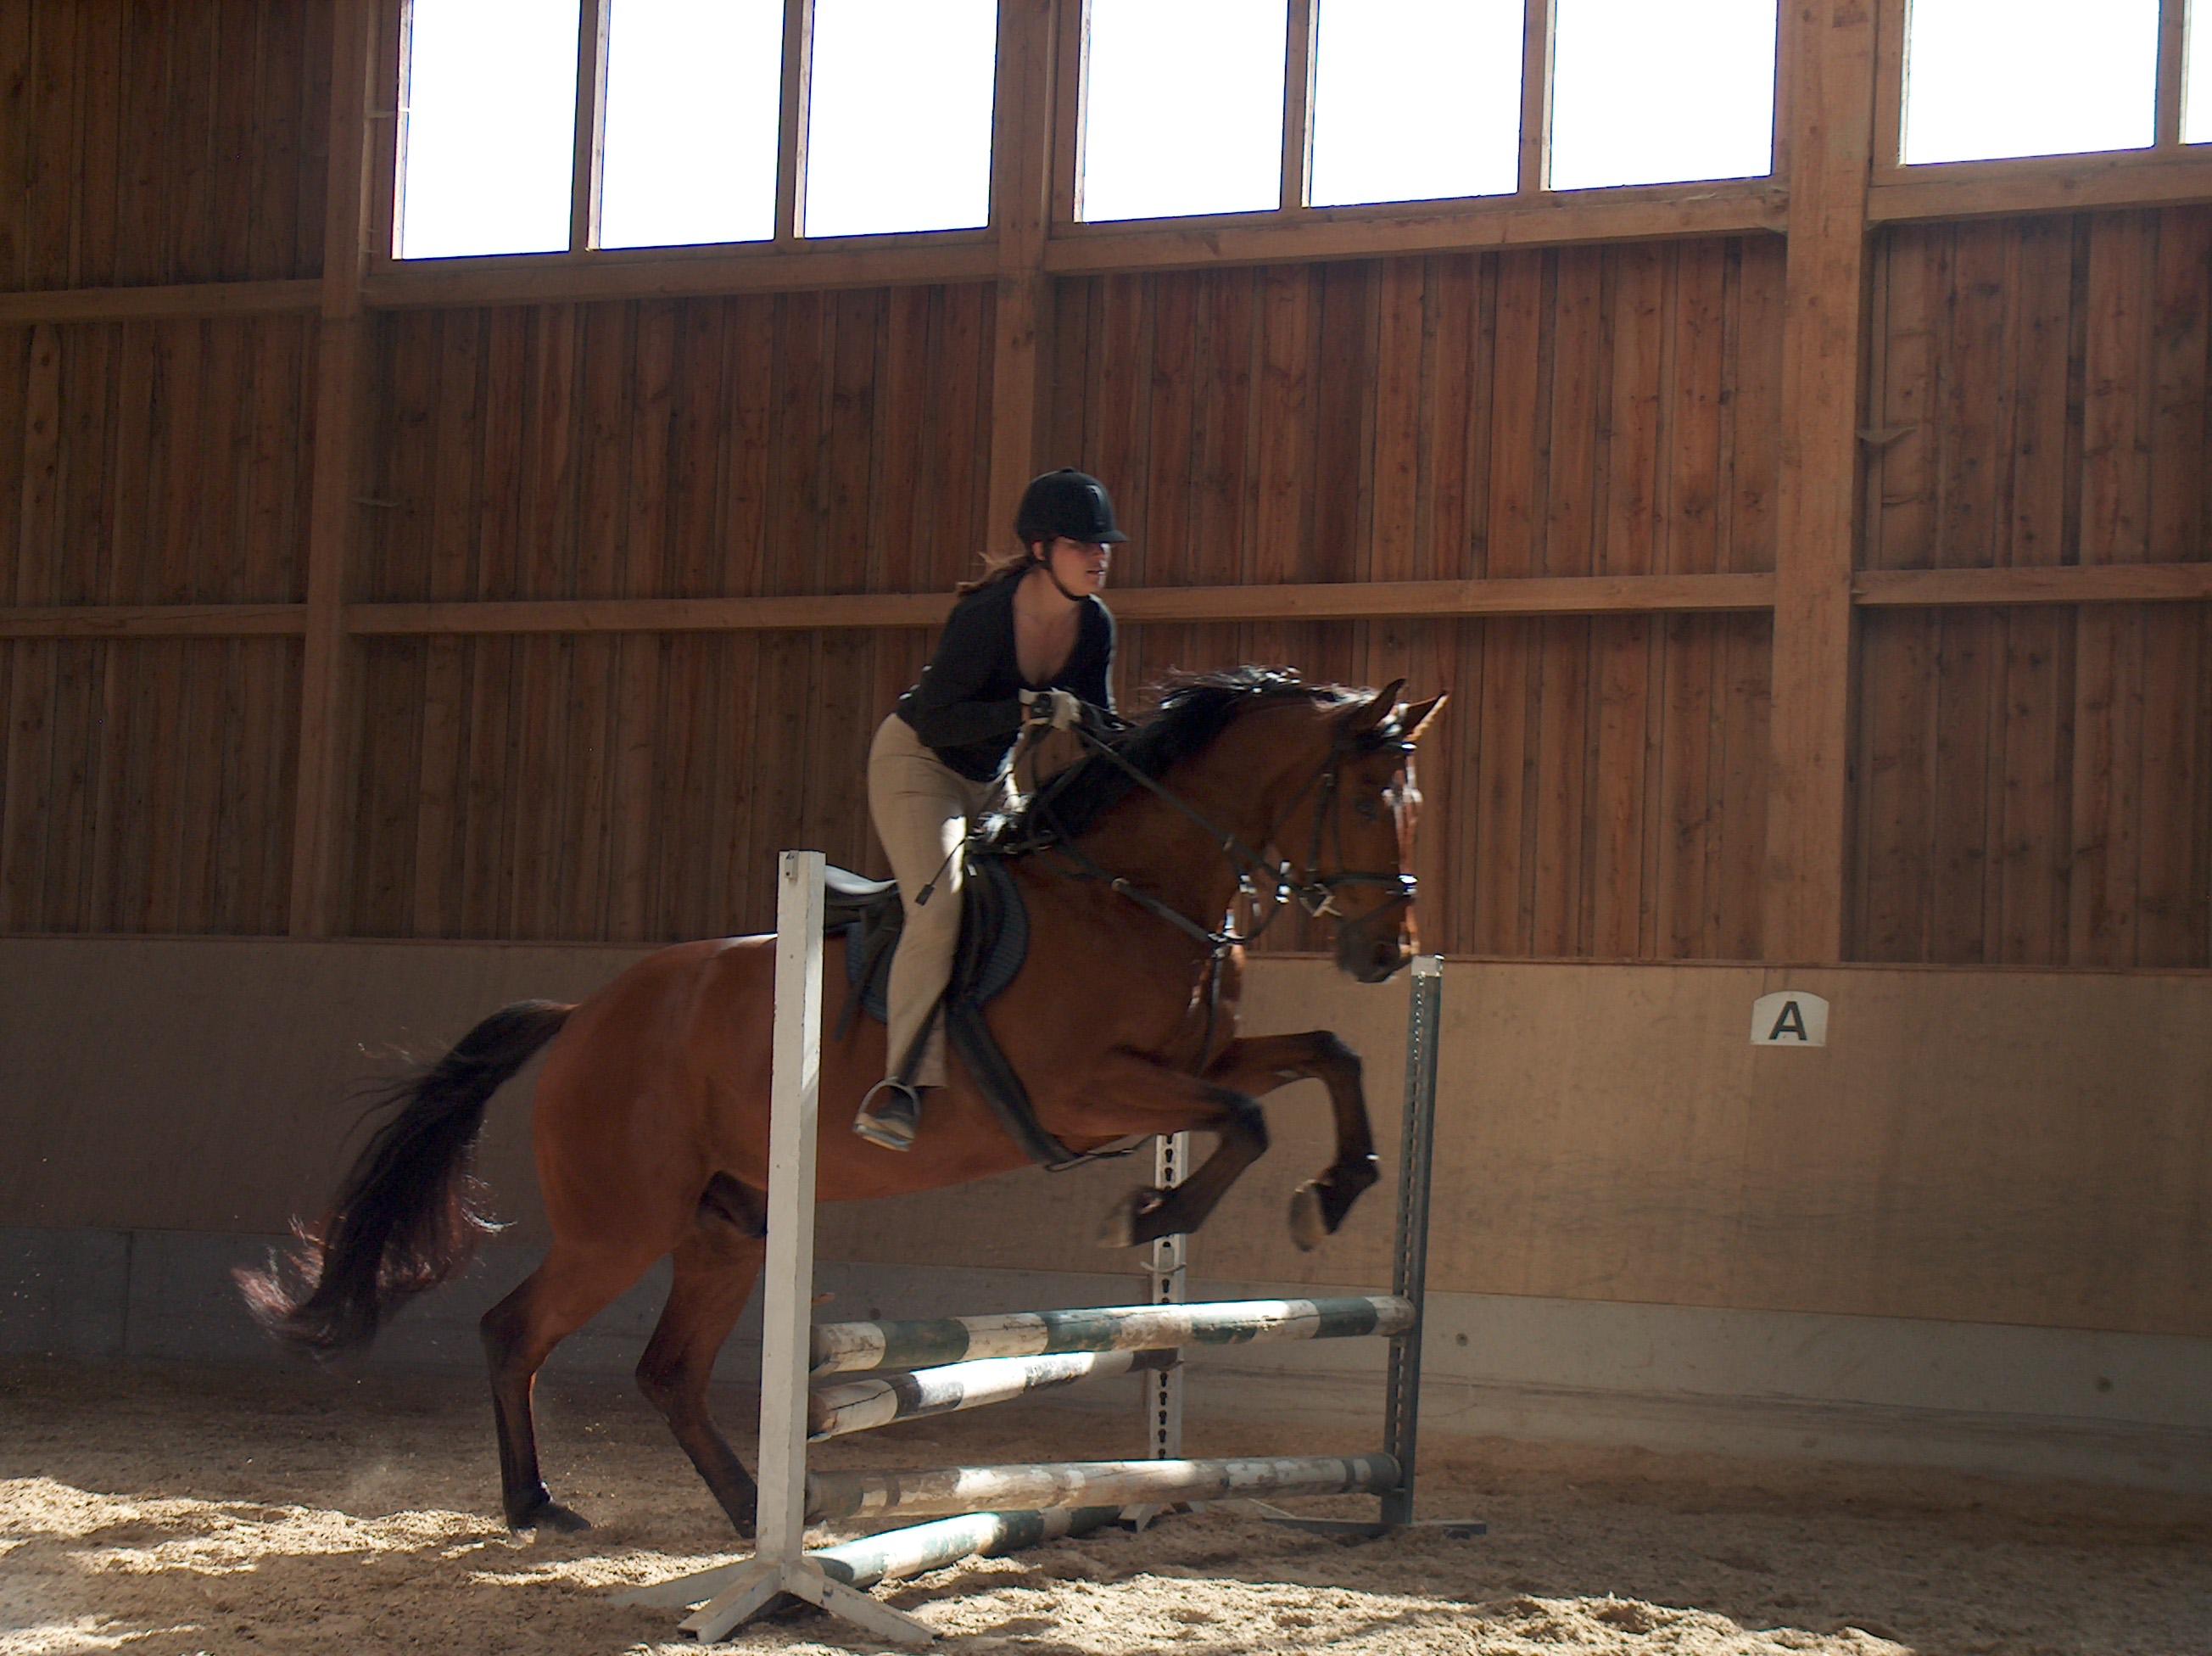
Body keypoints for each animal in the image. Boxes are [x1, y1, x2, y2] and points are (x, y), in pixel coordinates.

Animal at [238, 668, 1446, 1539]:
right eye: (1367, 798)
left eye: (1414, 805)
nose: (1391, 952)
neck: (1134, 888)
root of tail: (585, 1013)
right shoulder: (1085, 1090)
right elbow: (1247, 1118)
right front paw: (1155, 1214)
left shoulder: (1202, 1059)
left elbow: (1325, 1057)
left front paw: (1336, 1189)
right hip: (620, 1222)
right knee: (514, 1329)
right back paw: (540, 1503)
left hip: (728, 1225)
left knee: (666, 1369)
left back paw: (750, 1514)